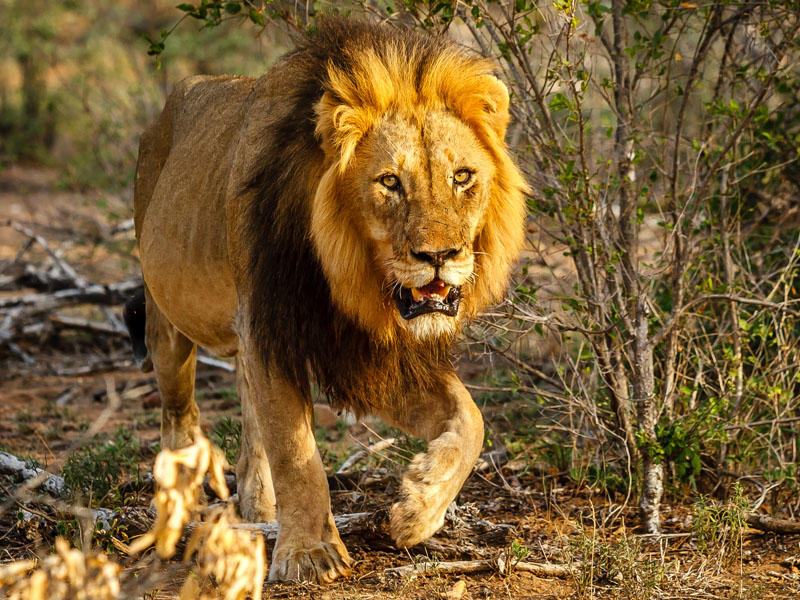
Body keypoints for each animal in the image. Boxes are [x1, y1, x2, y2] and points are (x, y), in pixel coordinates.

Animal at [129, 17, 528, 580]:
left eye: (462, 176)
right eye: (390, 182)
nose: (439, 256)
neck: (349, 276)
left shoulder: (365, 351)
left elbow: (472, 418)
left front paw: (418, 508)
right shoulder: (272, 326)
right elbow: (297, 452)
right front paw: (310, 553)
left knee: (248, 420)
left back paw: (259, 509)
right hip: (167, 319)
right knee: (178, 415)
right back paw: (183, 512)